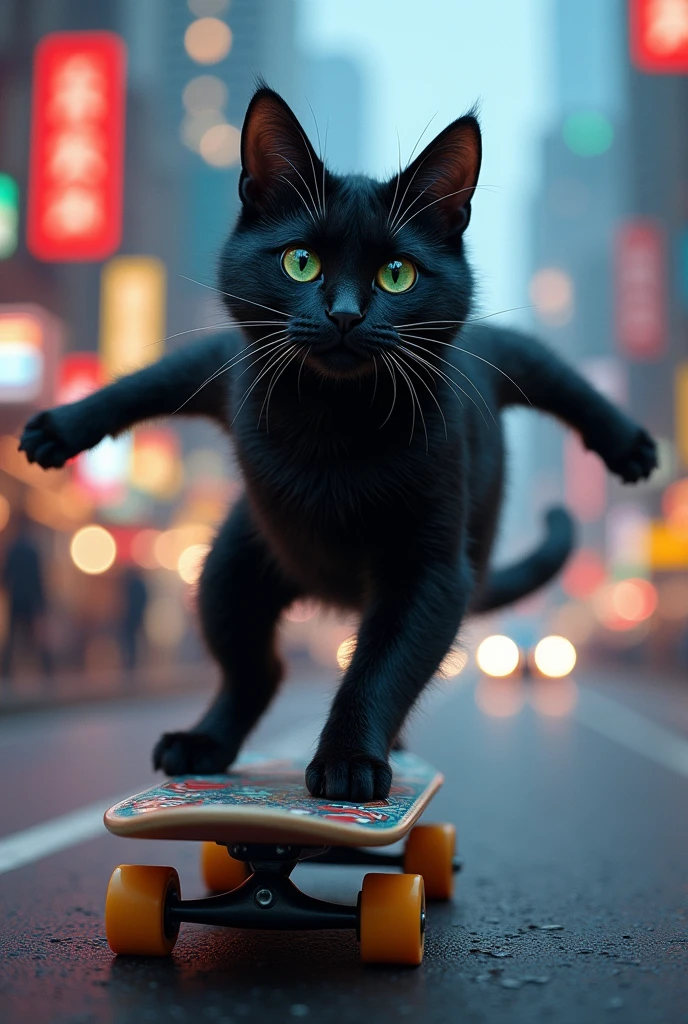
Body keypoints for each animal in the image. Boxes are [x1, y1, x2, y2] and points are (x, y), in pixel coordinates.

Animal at [20, 88, 655, 802]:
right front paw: (59, 429)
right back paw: (203, 742)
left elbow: (381, 670)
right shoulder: (231, 368)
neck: (332, 418)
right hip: (229, 571)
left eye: (398, 274)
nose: (347, 313)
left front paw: (350, 760)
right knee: (254, 670)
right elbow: (151, 382)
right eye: (301, 261)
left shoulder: (430, 570)